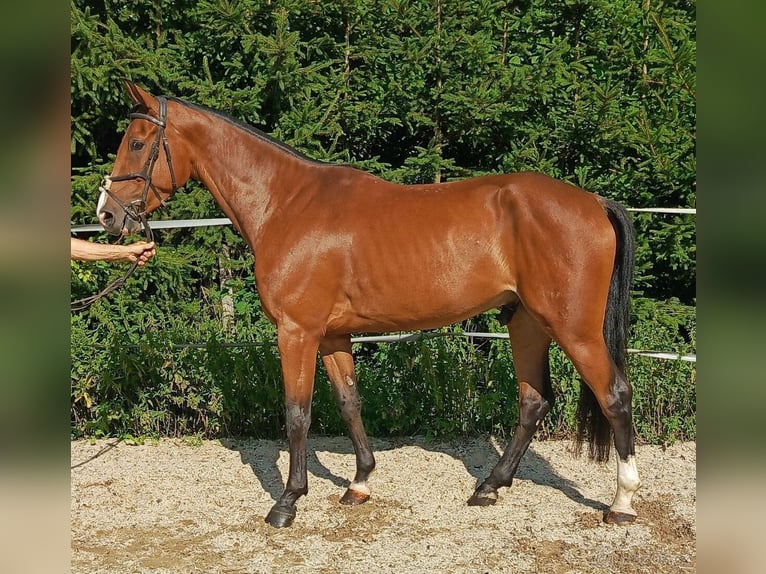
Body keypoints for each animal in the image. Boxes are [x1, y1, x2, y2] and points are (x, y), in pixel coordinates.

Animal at [96, 82, 640, 532]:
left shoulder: (297, 331)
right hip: (526, 323)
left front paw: (287, 503)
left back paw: (622, 503)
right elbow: (348, 403)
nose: (107, 215)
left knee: (614, 394)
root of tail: (593, 202)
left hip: (574, 329)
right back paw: (489, 487)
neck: (286, 204)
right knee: (533, 401)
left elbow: (297, 413)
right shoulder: (332, 335)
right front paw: (359, 484)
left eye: (138, 143)